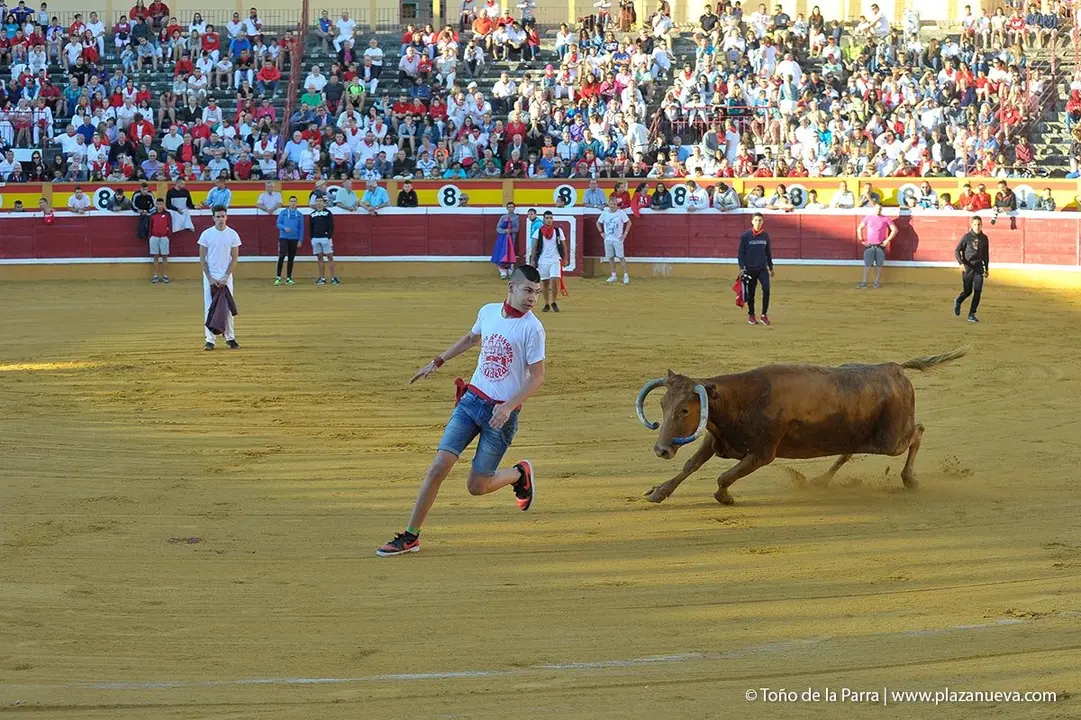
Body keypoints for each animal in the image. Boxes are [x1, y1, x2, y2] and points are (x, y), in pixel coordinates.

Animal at [634, 348, 968, 505]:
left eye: (685, 409)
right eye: (662, 405)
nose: (661, 449)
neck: (741, 399)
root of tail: (895, 368)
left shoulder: (762, 454)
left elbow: (724, 476)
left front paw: (725, 498)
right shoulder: (717, 440)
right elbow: (690, 465)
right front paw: (658, 492)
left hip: (891, 441)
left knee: (918, 432)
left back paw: (909, 480)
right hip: (859, 436)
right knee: (848, 452)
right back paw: (820, 481)